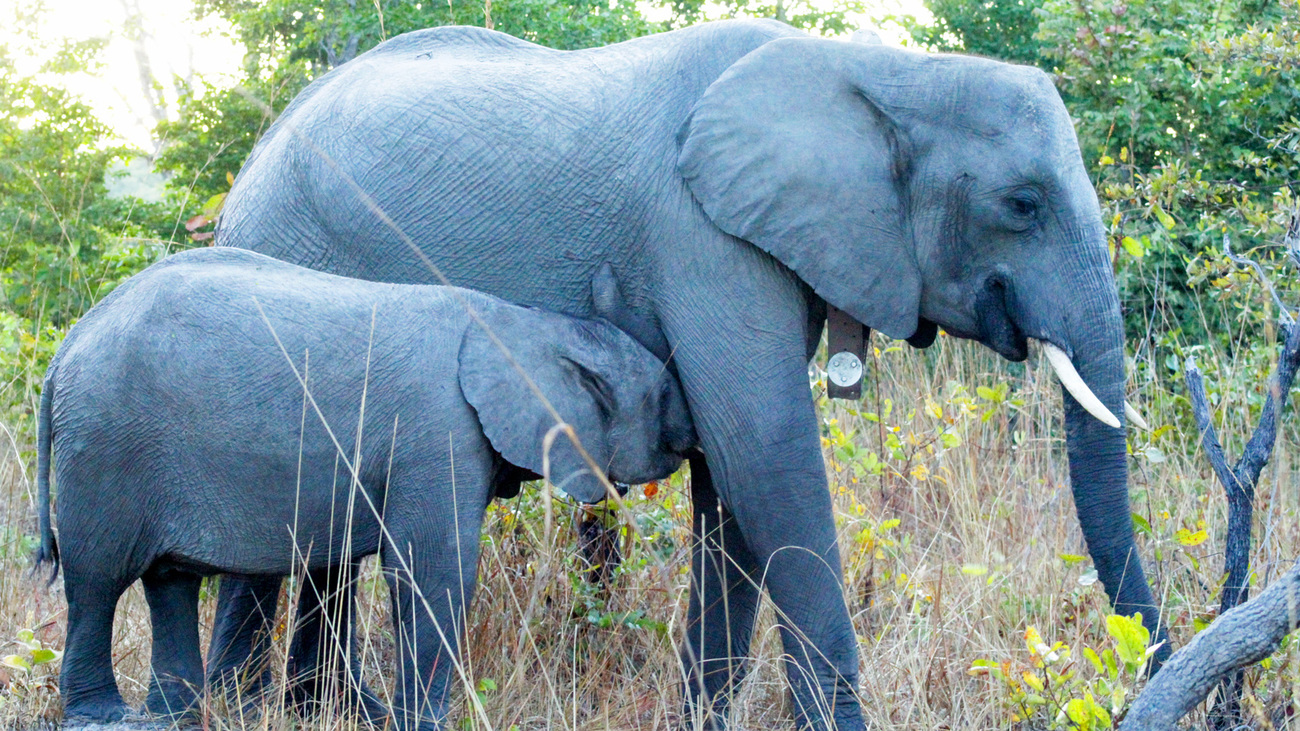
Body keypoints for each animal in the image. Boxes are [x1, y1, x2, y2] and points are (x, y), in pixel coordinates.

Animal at [35, 244, 696, 723]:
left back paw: (172, 717)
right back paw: (104, 718)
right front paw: (419, 724)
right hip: (106, 448)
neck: (523, 323)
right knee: (97, 583)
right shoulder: (435, 432)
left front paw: (363, 715)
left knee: (169, 582)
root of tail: (65, 350)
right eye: (667, 394)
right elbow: (433, 570)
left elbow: (342, 573)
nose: (695, 434)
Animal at [213, 19, 1170, 723]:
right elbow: (766, 455)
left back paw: (314, 708)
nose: (1153, 669)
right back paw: (246, 705)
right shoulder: (700, 237)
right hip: (286, 256)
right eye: (1023, 204)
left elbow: (731, 484)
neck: (878, 68)